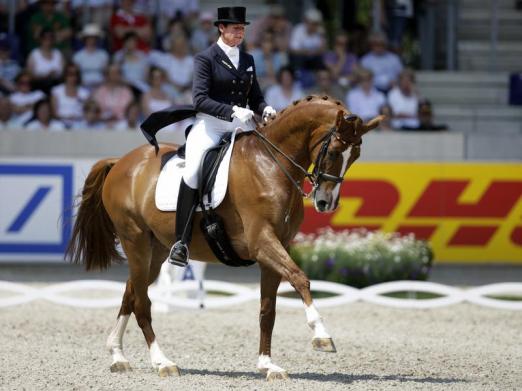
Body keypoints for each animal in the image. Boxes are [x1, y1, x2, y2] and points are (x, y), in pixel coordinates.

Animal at [67, 96, 380, 382]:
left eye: (356, 155)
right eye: (335, 151)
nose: (326, 203)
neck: (271, 164)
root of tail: (121, 162)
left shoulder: (276, 248)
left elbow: (268, 309)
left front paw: (268, 365)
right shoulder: (262, 242)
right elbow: (300, 278)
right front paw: (321, 335)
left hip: (155, 251)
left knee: (131, 293)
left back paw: (118, 355)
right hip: (135, 240)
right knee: (142, 302)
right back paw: (162, 362)